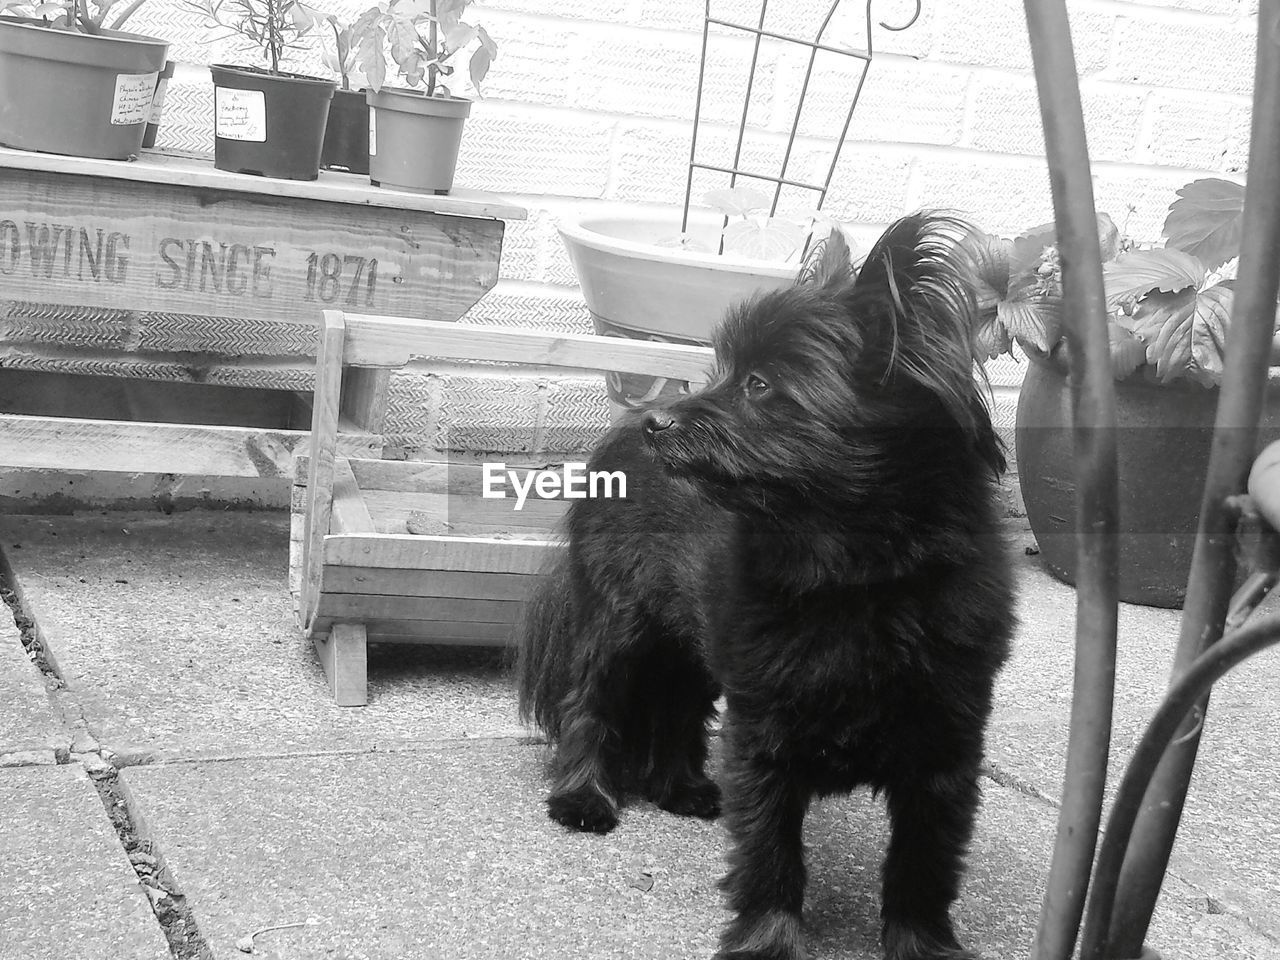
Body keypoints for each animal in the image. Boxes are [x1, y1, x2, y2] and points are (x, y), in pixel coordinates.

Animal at [514, 216, 1013, 960]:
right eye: (725, 370)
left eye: (758, 383)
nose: (660, 424)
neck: (854, 575)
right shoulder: (766, 738)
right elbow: (772, 857)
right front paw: (769, 942)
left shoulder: (945, 752)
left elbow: (922, 866)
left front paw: (923, 947)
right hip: (623, 626)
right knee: (591, 703)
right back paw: (583, 798)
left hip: (694, 643)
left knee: (680, 710)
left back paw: (682, 788)